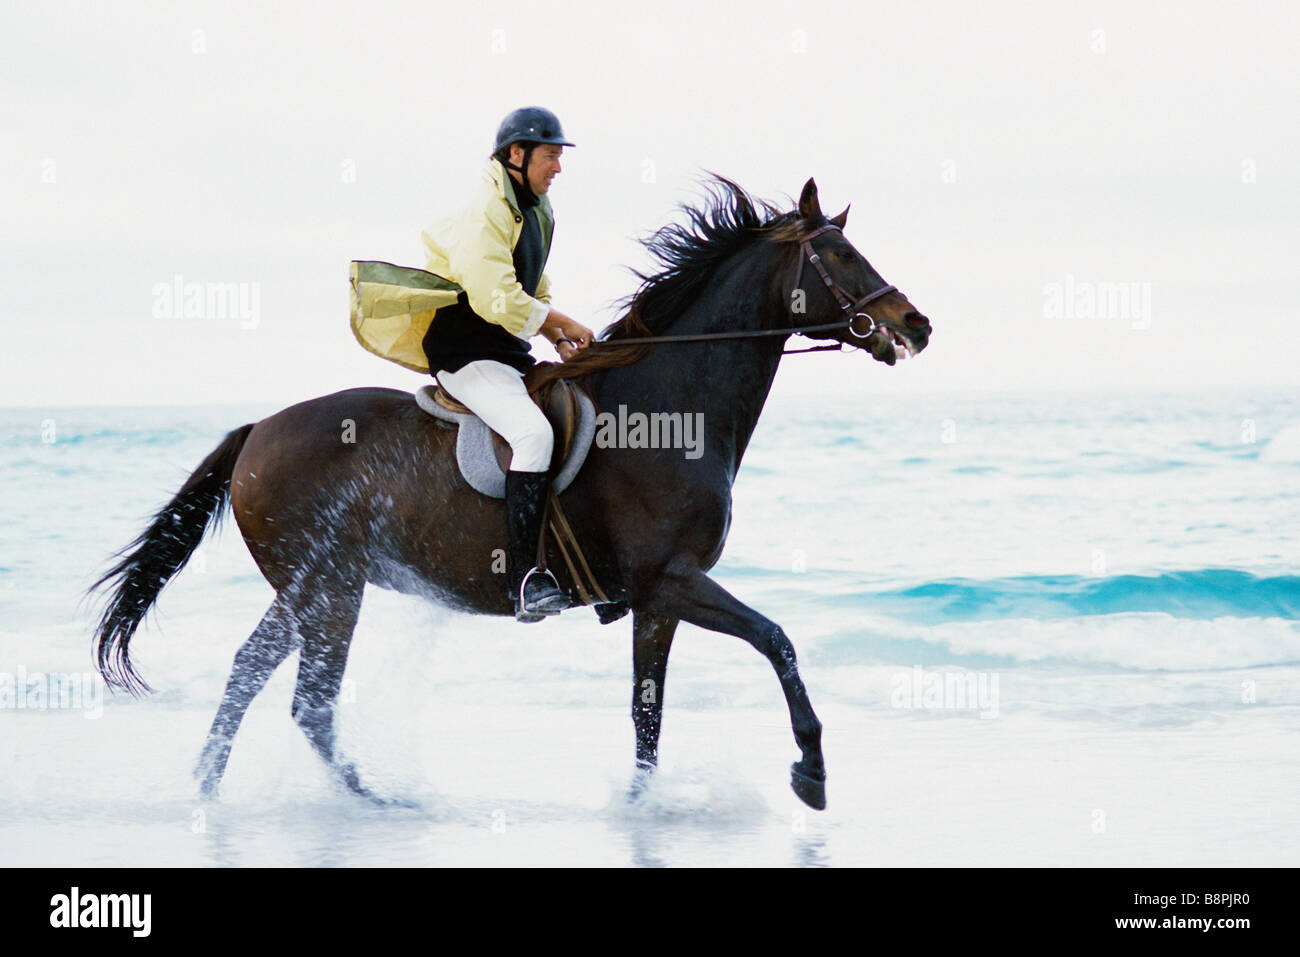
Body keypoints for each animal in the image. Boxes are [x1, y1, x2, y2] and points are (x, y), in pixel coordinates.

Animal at [88, 176, 932, 810]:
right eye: (841, 255)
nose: (916, 323)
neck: (671, 406)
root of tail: (258, 430)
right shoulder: (673, 580)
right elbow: (777, 639)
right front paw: (811, 770)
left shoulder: (657, 600)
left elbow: (646, 713)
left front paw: (642, 804)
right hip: (330, 588)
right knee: (309, 701)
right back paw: (377, 799)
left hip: (308, 586)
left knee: (250, 672)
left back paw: (212, 786)